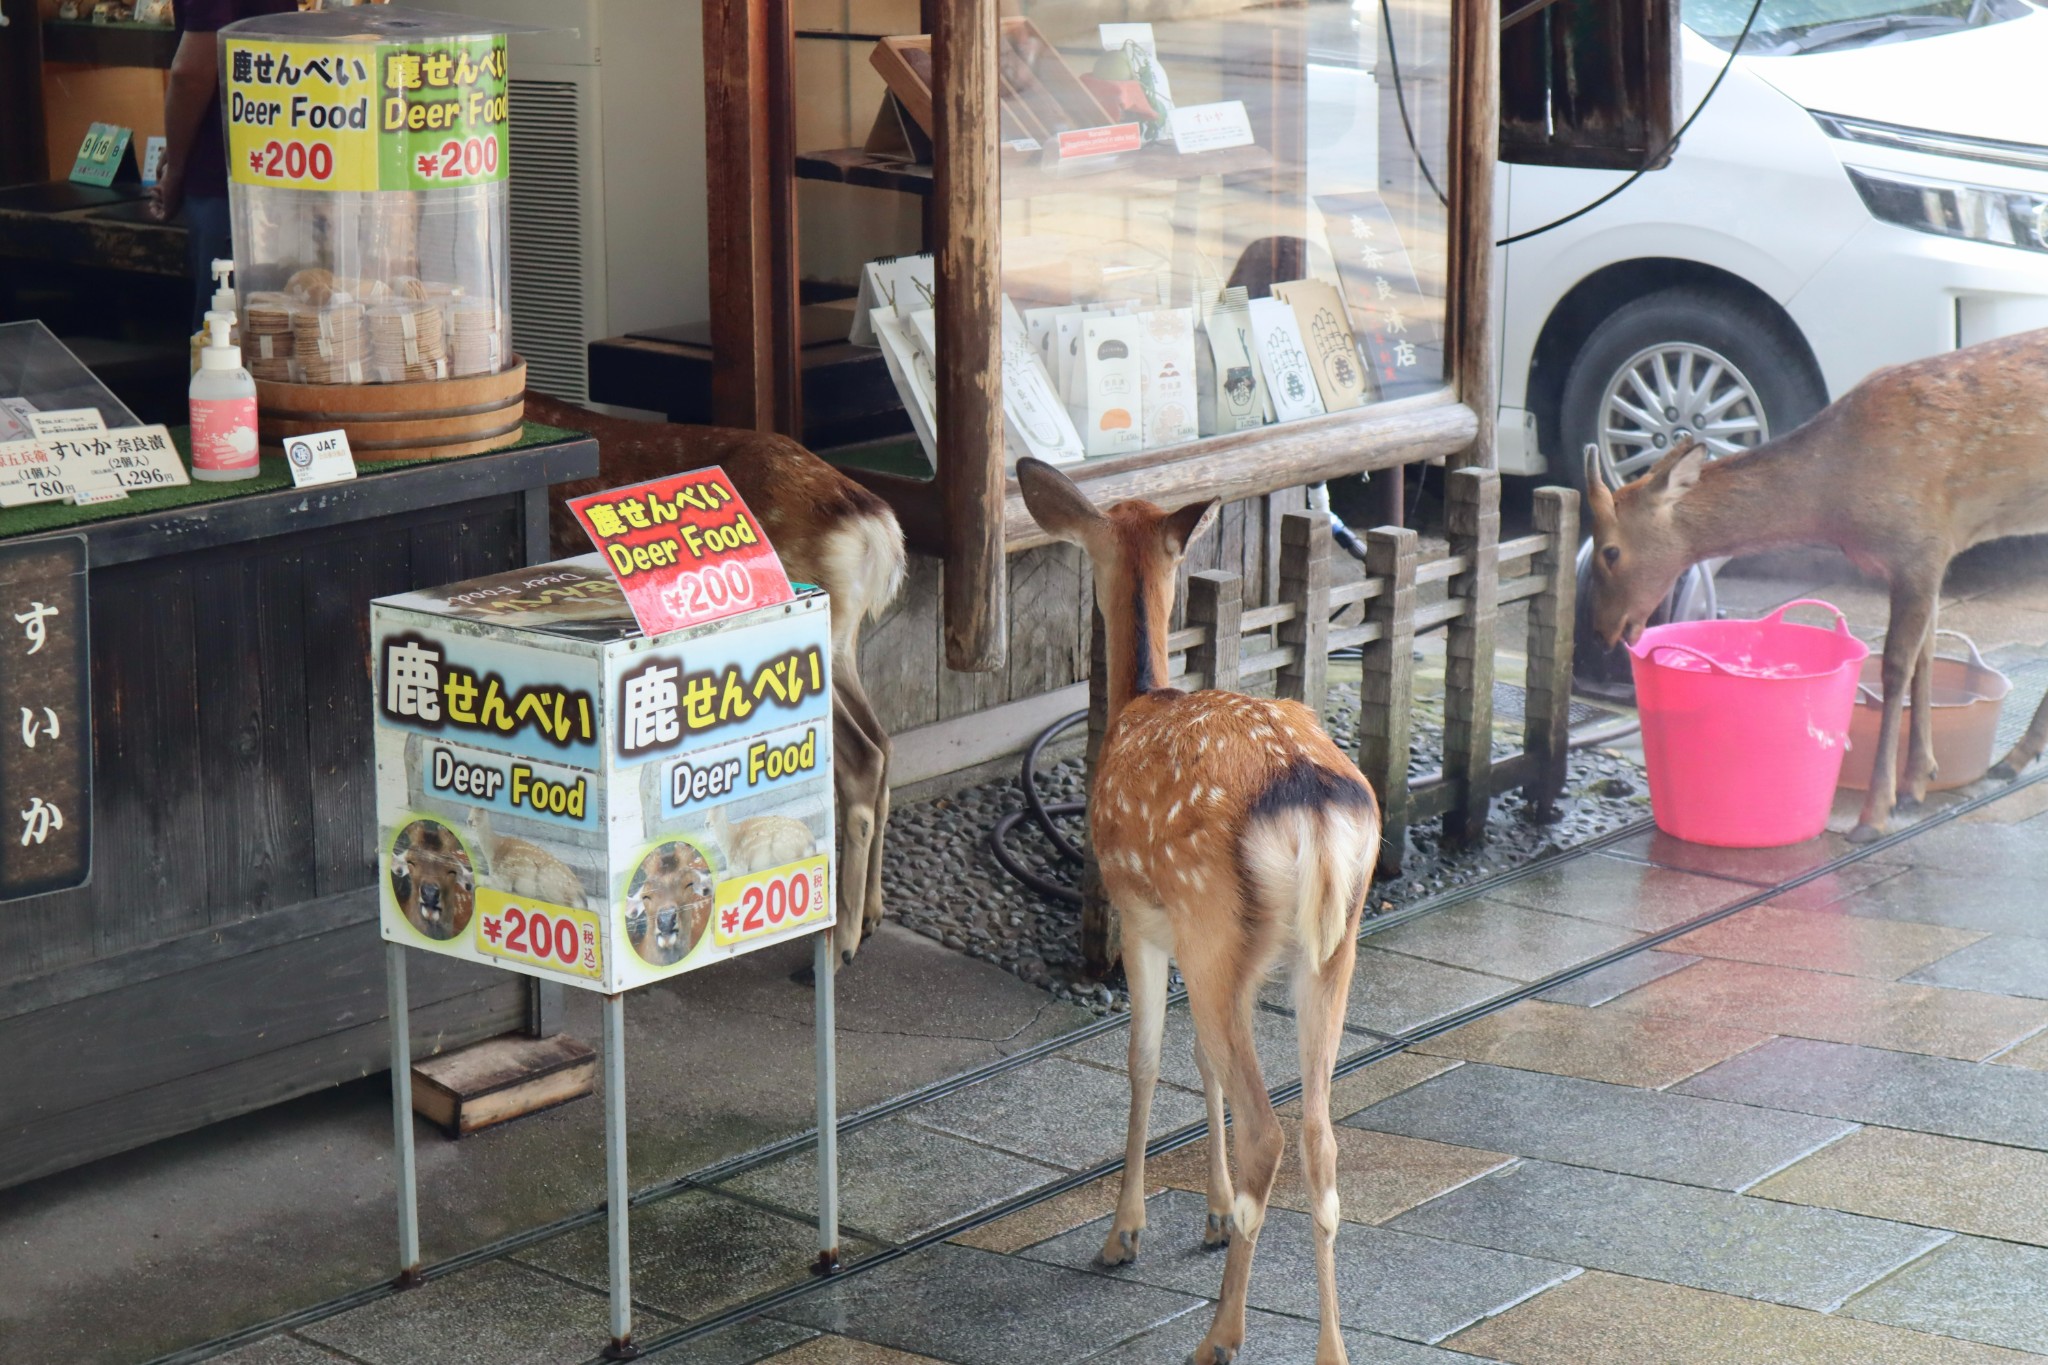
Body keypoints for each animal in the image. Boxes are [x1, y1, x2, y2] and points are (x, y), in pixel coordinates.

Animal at [1019, 458, 1384, 1365]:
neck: (1142, 698)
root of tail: (1312, 805)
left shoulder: (1142, 916)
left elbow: (1147, 1055)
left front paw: (1124, 1230)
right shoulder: (1197, 940)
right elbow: (1201, 1058)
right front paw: (1213, 1215)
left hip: (1216, 917)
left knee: (1270, 1131)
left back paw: (1220, 1333)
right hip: (1331, 945)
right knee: (1319, 1134)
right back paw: (1330, 1348)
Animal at [1581, 327, 2048, 843]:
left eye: (1610, 551)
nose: (1600, 631)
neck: (1836, 500)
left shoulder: (1920, 545)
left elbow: (1896, 667)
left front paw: (1873, 814)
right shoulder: (1928, 558)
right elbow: (1926, 659)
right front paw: (1916, 783)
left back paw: (2014, 758)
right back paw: (2012, 759)